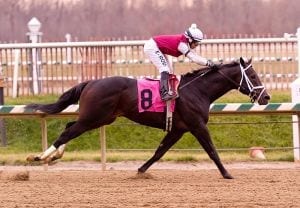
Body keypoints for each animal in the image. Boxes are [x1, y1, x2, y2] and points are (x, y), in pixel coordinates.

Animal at [25, 57, 270, 179]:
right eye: (253, 75)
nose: (266, 97)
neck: (197, 90)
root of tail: (91, 82)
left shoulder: (178, 129)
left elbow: (159, 151)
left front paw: (141, 171)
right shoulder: (197, 125)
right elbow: (212, 150)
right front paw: (227, 174)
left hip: (100, 118)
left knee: (69, 126)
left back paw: (54, 156)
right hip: (94, 117)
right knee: (68, 132)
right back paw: (40, 157)